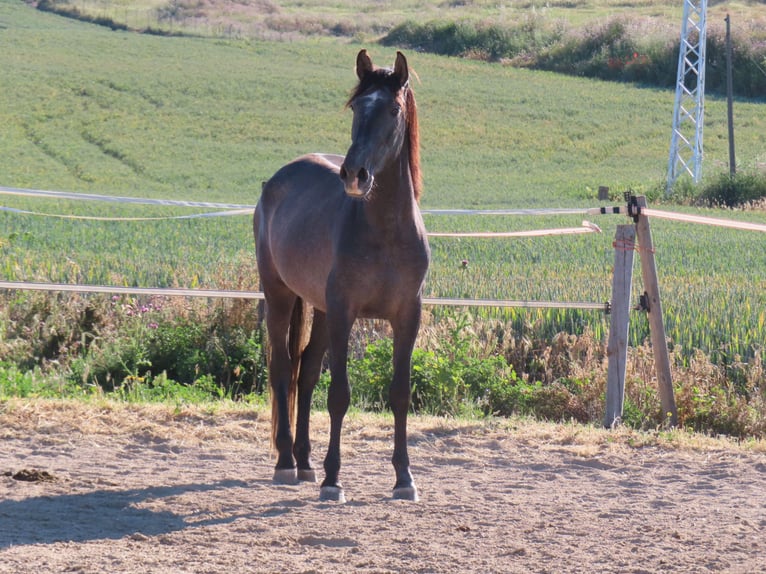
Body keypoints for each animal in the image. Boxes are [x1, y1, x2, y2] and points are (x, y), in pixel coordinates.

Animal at [254, 50, 428, 504]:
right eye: (355, 107)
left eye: (393, 109)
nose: (353, 175)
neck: (386, 231)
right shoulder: (345, 312)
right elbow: (339, 395)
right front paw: (334, 480)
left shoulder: (408, 316)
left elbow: (399, 394)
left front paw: (404, 479)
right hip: (280, 296)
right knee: (283, 368)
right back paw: (286, 463)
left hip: (319, 309)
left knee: (306, 372)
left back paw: (305, 462)